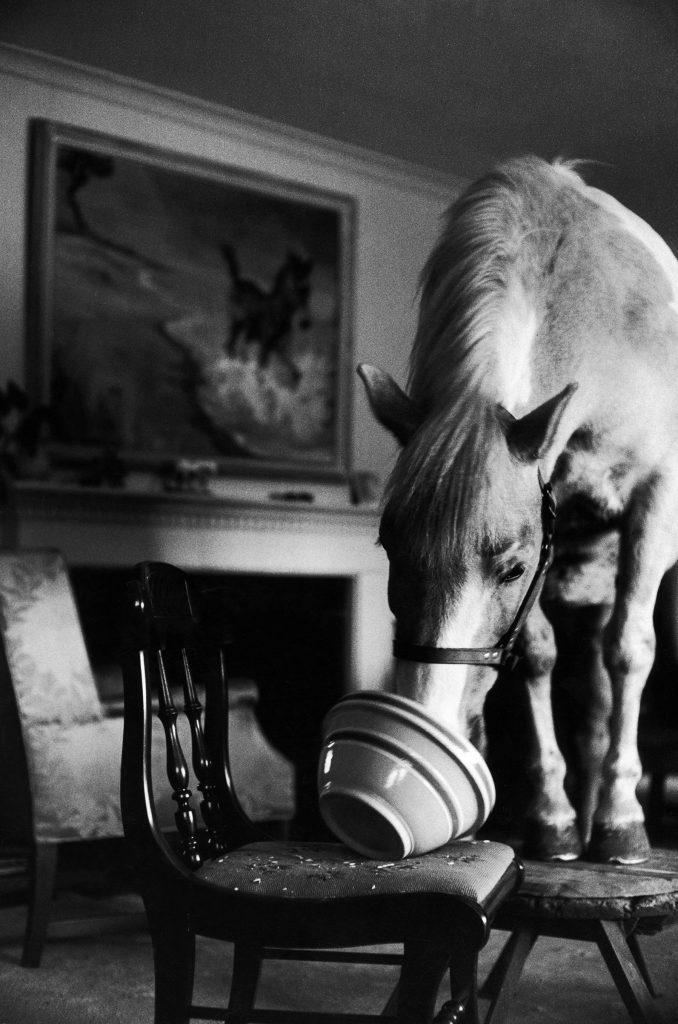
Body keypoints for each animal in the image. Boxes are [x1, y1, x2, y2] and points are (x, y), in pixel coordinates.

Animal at [360, 157, 678, 864]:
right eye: (391, 550)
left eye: (510, 568)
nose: (427, 724)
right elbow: (537, 659)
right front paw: (553, 818)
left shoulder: (655, 498)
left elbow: (633, 650)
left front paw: (623, 820)